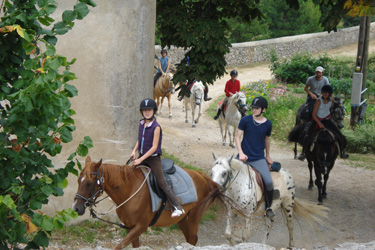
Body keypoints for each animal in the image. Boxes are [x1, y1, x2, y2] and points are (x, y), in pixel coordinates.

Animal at [72, 156, 222, 250]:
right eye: (78, 180)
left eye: (89, 183)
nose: (76, 208)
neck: (130, 189)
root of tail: (202, 176)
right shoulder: (130, 227)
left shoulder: (141, 227)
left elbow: (119, 246)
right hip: (182, 220)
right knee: (190, 240)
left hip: (194, 217)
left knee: (192, 239)